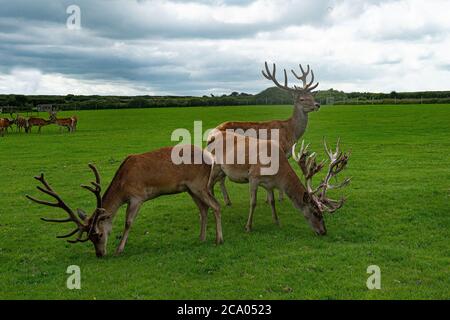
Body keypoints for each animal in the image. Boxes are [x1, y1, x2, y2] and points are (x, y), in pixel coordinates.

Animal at [26, 145, 223, 258]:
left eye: (98, 235)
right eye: (89, 238)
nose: (99, 254)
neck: (122, 185)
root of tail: (210, 158)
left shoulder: (137, 197)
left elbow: (128, 222)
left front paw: (119, 249)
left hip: (198, 184)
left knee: (216, 205)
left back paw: (218, 240)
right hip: (190, 188)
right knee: (203, 209)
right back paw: (201, 238)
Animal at [207, 131, 352, 234]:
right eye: (316, 213)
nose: (323, 231)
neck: (276, 173)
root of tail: (210, 138)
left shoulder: (269, 184)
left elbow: (272, 201)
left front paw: (276, 222)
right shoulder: (253, 177)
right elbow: (253, 203)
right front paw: (248, 227)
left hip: (222, 170)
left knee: (215, 183)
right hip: (215, 164)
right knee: (208, 184)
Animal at [210, 61, 320, 206]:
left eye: (312, 96)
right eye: (302, 99)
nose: (317, 105)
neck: (290, 131)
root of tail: (210, 134)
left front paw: (270, 198)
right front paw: (279, 198)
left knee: (220, 178)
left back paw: (226, 201)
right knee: (219, 178)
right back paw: (225, 201)